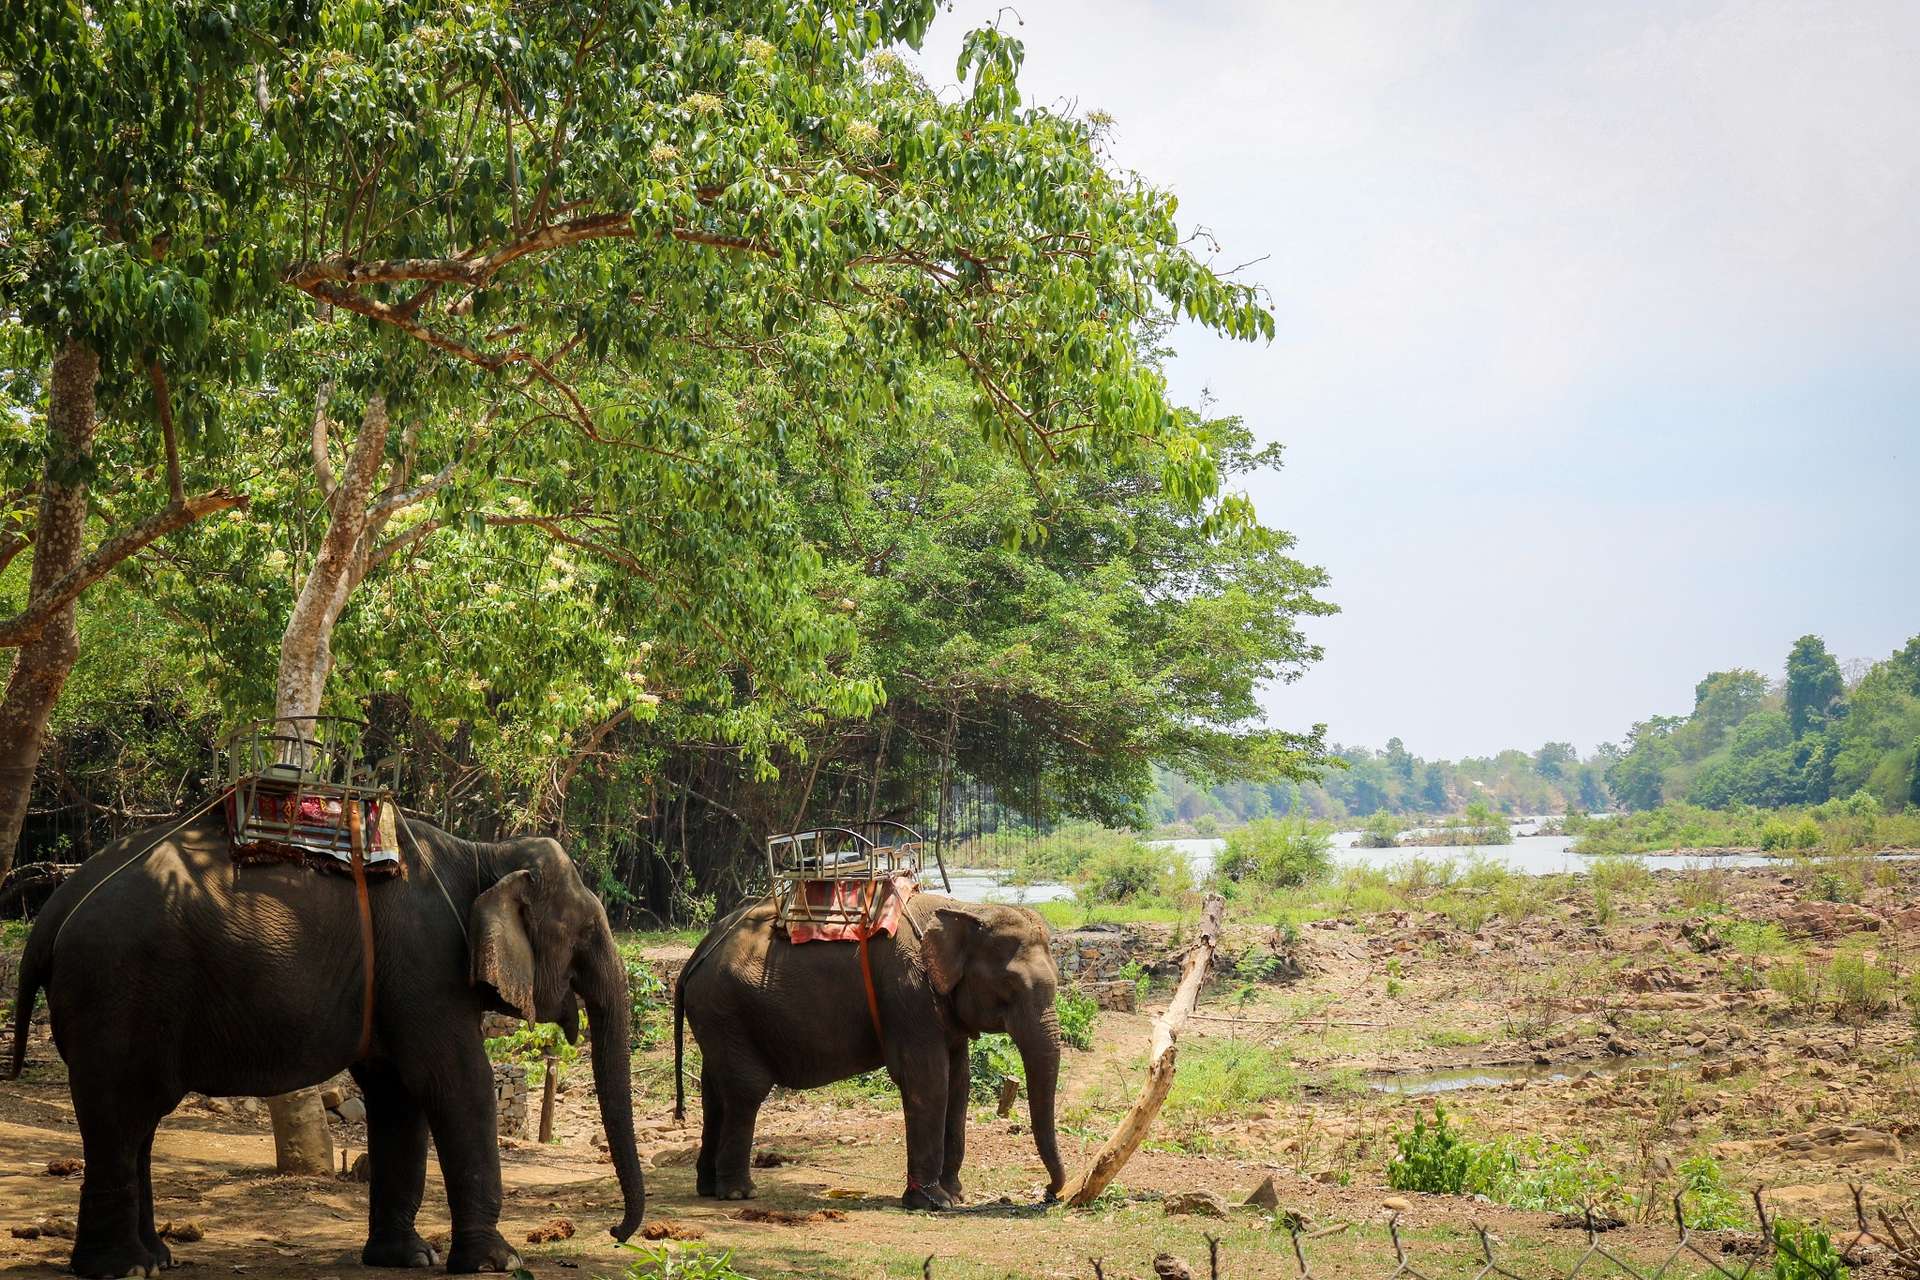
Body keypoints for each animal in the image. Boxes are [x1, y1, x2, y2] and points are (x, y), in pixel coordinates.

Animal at [1, 817, 652, 1274]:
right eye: (585, 936)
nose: (616, 1234)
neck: (483, 853)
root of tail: (54, 912)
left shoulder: (395, 981)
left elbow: (397, 1095)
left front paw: (409, 1259)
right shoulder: (426, 965)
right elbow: (455, 1082)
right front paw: (500, 1263)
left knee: (137, 1119)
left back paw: (156, 1259)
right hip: (119, 988)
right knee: (120, 1111)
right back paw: (123, 1269)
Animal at [675, 890, 1067, 1212]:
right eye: (1010, 984)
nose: (1050, 1194)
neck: (964, 909)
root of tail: (698, 953)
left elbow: (959, 1084)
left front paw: (955, 1196)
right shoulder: (908, 995)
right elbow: (928, 1082)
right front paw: (933, 1203)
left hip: (718, 1017)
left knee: (714, 1093)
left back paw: (708, 1188)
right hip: (726, 1009)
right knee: (745, 1091)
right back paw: (738, 1193)